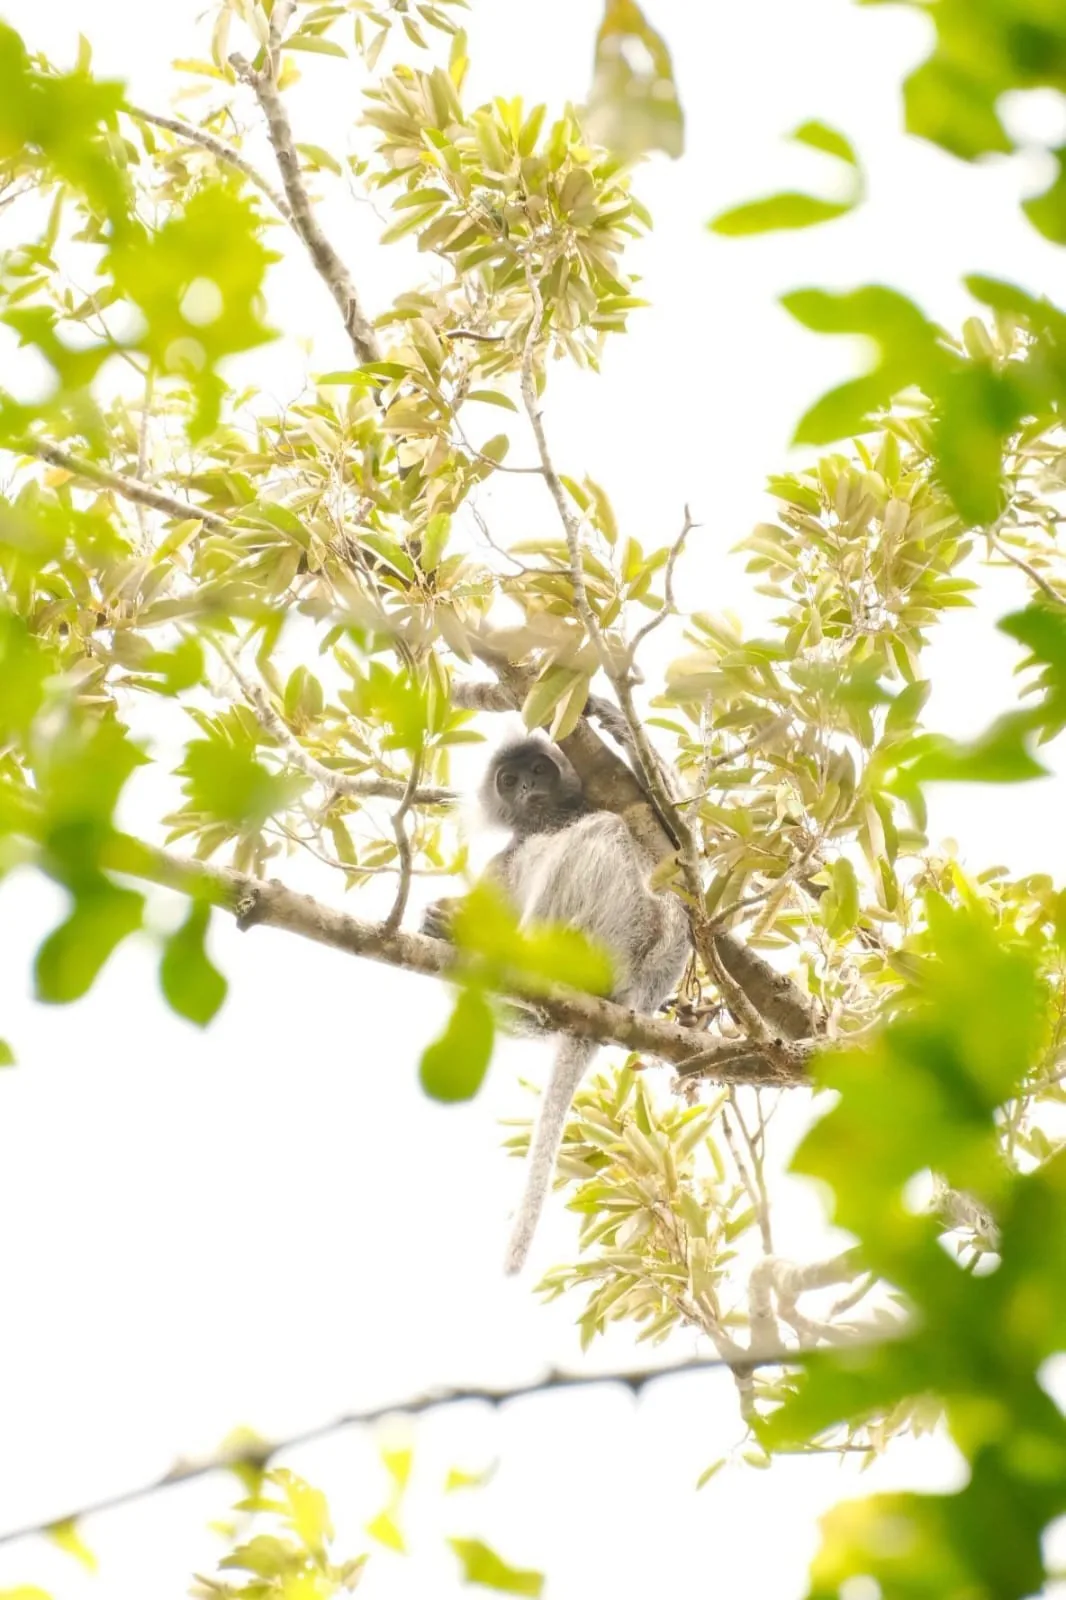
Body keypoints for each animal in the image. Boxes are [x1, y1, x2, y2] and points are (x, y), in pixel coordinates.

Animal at [422, 733, 691, 1275]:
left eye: (539, 770)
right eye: (509, 780)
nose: (527, 788)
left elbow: (687, 852)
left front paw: (612, 718)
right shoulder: (502, 861)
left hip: (627, 934)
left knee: (605, 832)